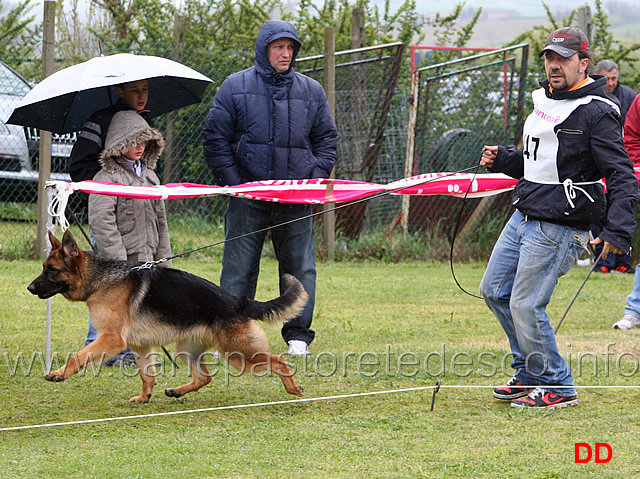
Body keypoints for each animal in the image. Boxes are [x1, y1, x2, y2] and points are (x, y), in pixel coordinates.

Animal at [28, 231, 308, 404]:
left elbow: (80, 355)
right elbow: (147, 374)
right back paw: (176, 391)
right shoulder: (140, 345)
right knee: (204, 377)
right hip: (186, 349)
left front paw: (58, 373)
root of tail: (239, 301)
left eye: (51, 269)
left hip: (239, 354)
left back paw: (293, 388)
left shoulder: (112, 340)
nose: (30, 288)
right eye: (43, 267)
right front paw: (145, 397)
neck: (102, 280)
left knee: (279, 360)